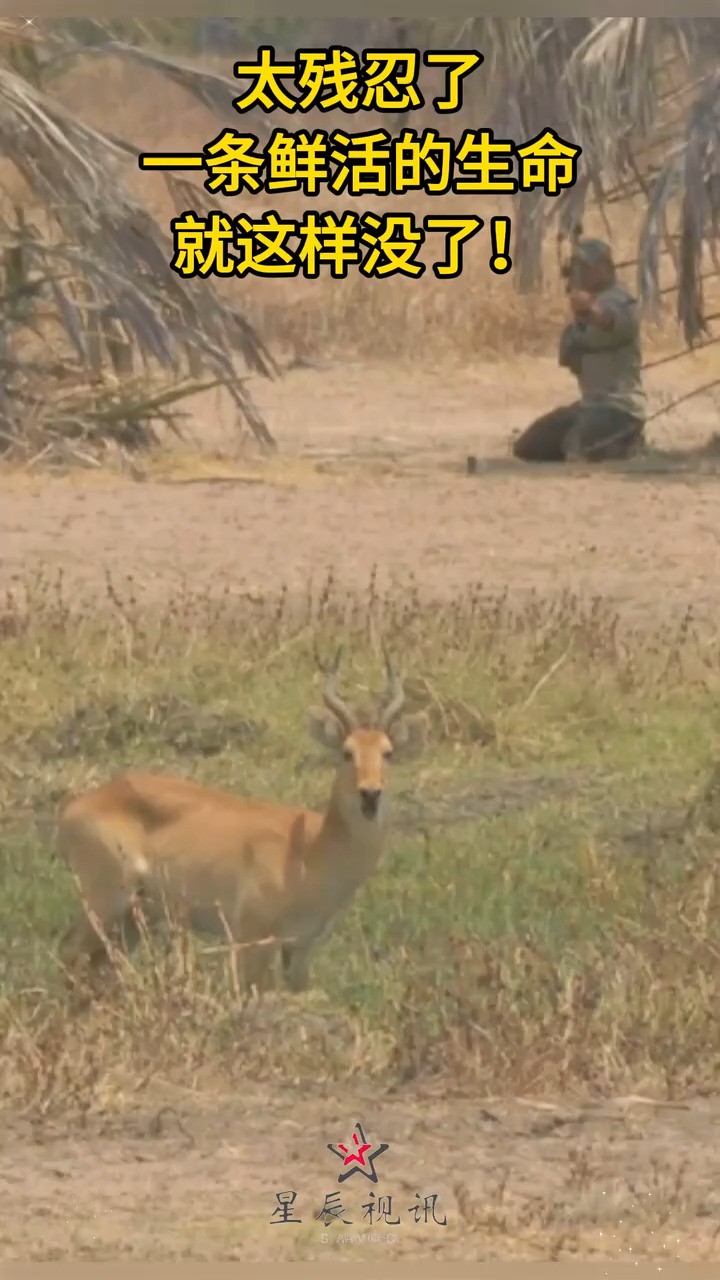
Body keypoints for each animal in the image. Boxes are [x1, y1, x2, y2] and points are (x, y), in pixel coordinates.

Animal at [58, 650, 425, 998]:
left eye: (388, 752)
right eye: (347, 752)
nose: (370, 795)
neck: (311, 849)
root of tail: (77, 805)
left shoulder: (300, 949)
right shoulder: (249, 939)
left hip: (133, 920)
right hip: (106, 902)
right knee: (69, 954)